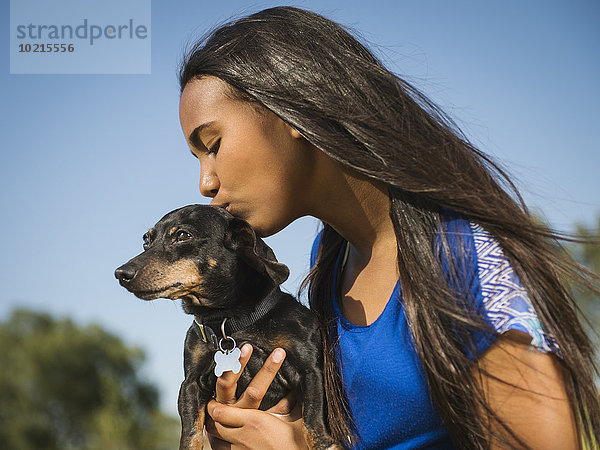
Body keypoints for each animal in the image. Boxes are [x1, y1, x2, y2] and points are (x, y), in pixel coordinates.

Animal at [115, 206, 340, 448]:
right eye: (146, 241)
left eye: (183, 235)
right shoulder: (190, 385)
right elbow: (191, 433)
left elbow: (312, 418)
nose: (121, 274)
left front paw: (324, 444)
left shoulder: (309, 372)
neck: (229, 322)